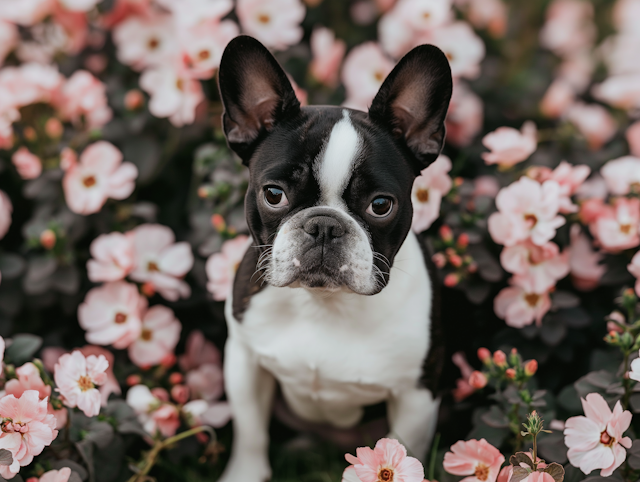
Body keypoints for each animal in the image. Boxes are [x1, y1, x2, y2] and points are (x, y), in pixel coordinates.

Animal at [218, 35, 452, 480]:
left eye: (381, 205)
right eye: (274, 194)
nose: (325, 225)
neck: (323, 303)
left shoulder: (416, 395)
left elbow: (405, 450)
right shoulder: (245, 360)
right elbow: (250, 432)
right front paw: (244, 473)